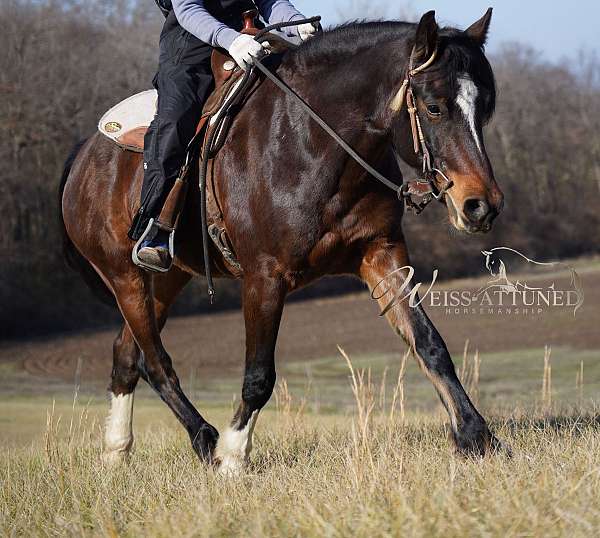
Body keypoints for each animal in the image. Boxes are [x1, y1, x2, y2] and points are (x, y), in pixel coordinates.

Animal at [59, 7, 506, 468]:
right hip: (125, 278)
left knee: (126, 354)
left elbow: (430, 345)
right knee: (155, 360)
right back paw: (204, 439)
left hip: (167, 279)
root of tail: (85, 153)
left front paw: (476, 436)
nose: (480, 205)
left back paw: (117, 450)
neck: (313, 143)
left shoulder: (381, 255)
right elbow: (259, 374)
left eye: (485, 109)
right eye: (433, 107)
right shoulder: (264, 278)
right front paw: (234, 456)